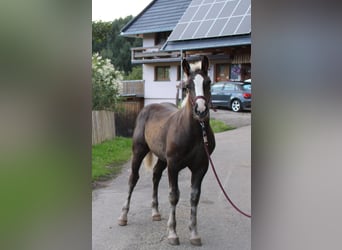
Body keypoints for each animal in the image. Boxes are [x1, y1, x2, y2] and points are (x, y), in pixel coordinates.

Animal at [117, 55, 214, 245]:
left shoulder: (201, 167)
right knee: (133, 179)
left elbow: (194, 197)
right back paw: (123, 216)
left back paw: (155, 212)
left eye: (208, 82)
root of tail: (147, 107)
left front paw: (194, 234)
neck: (194, 132)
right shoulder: (174, 165)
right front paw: (173, 233)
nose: (200, 111)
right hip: (139, 151)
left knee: (155, 175)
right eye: (187, 86)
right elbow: (174, 196)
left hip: (162, 158)